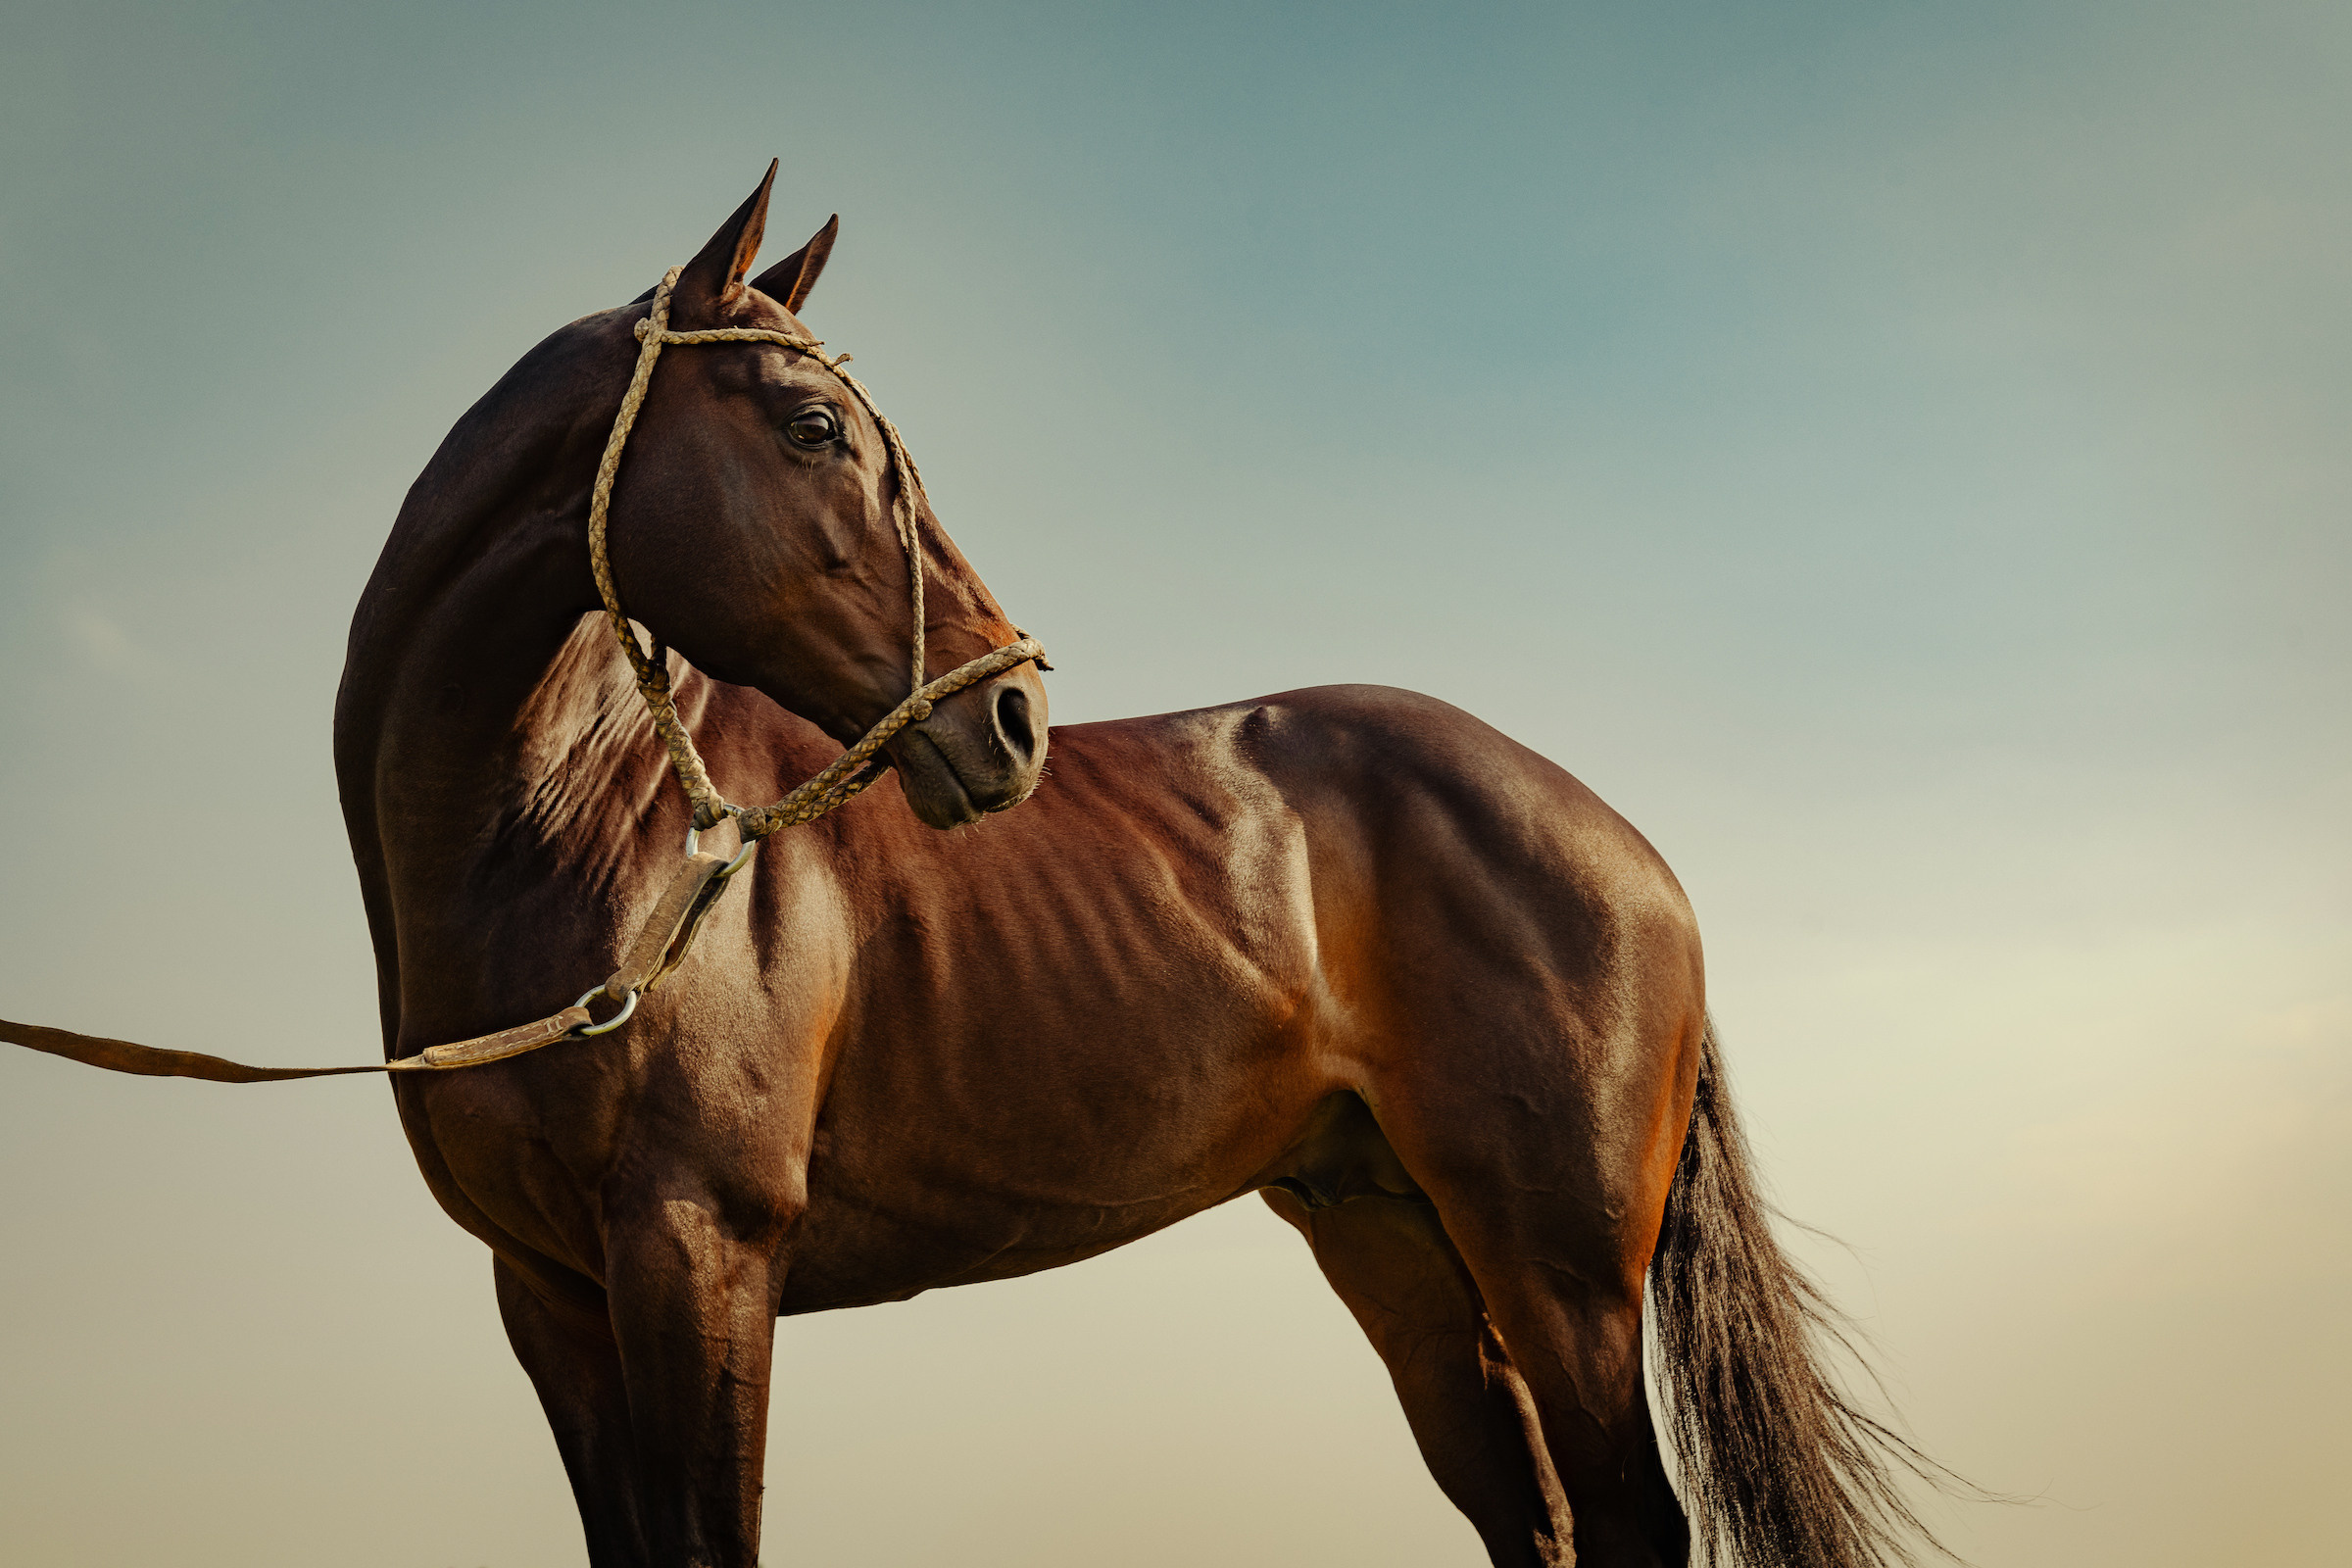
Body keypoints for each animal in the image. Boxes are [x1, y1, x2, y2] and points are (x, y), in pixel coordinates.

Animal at [318, 165, 1946, 1568]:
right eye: (813, 427)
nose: (1012, 717)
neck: (578, 834)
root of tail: (1624, 843)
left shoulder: (699, 1253)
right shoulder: (555, 1299)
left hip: (1564, 1272)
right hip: (1399, 1244)